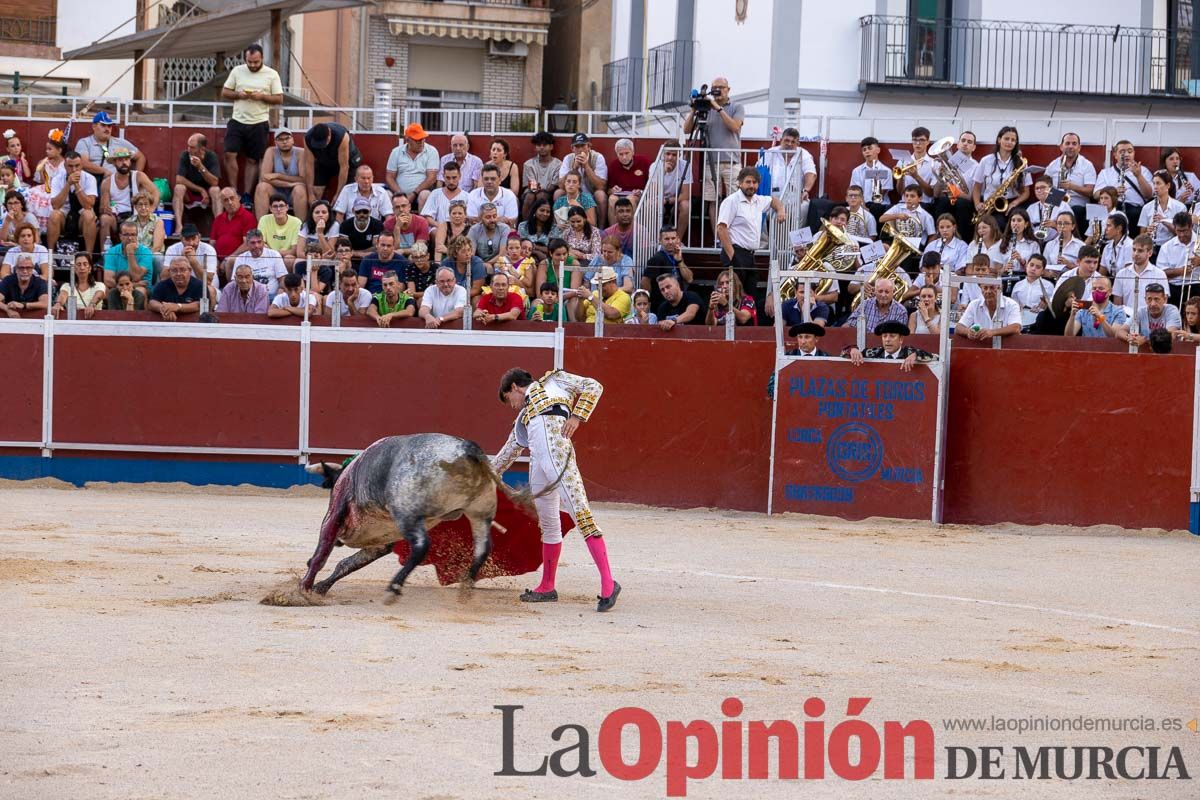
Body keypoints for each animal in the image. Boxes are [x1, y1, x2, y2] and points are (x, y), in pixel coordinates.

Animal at [297, 434, 549, 604]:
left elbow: (322, 554)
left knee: (421, 546)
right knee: (483, 548)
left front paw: (303, 589)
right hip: (479, 512)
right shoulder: (383, 541)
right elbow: (347, 563)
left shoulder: (335, 512)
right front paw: (320, 588)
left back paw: (394, 589)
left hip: (407, 514)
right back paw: (466, 586)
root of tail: (469, 450)